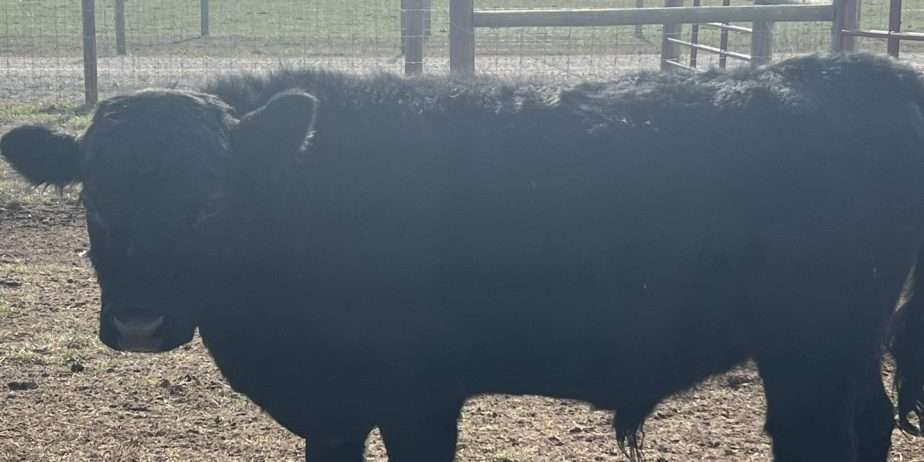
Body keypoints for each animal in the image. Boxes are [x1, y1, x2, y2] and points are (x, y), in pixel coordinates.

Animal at [2, 53, 923, 462]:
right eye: (92, 195)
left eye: (210, 198)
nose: (140, 323)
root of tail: (853, 66)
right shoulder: (334, 409)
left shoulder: (418, 397)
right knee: (870, 423)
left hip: (809, 350)